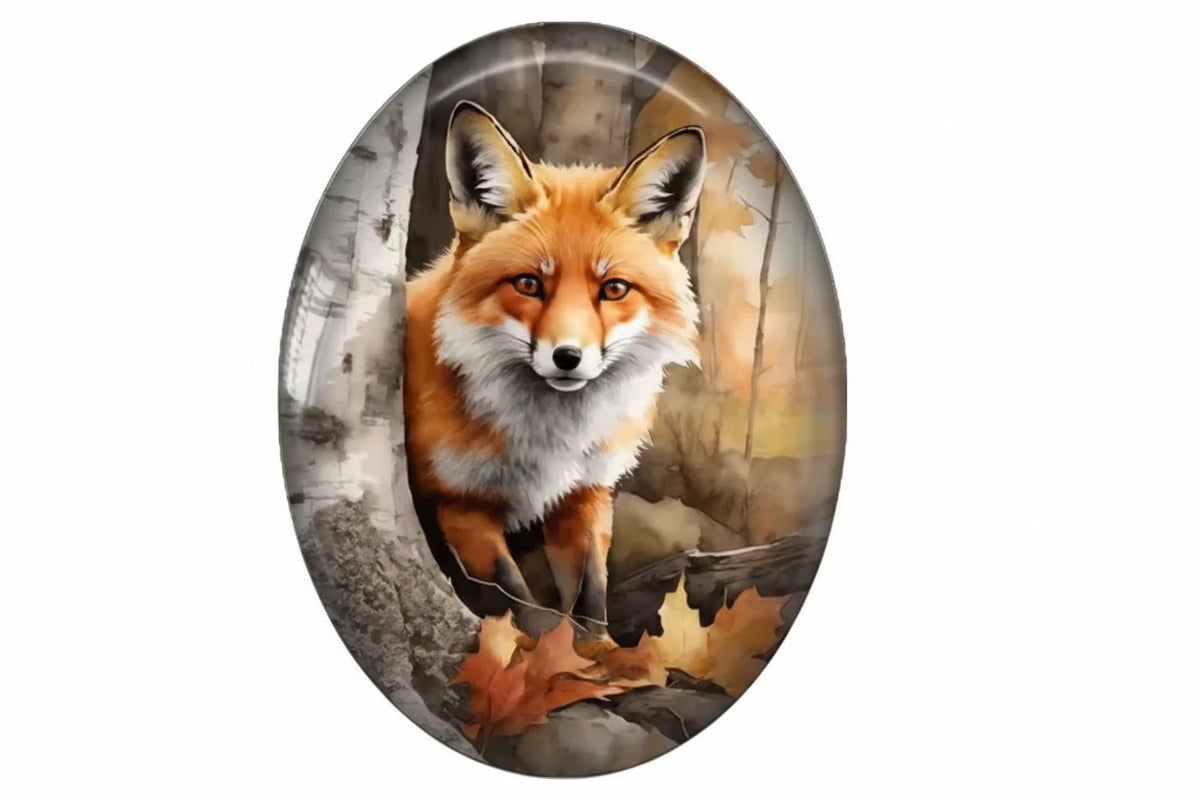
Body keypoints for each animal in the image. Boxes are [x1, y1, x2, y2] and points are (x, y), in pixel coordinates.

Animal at [404, 100, 705, 634]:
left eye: (613, 289)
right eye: (528, 284)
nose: (567, 357)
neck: (550, 441)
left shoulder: (586, 495)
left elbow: (591, 598)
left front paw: (597, 653)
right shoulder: (459, 504)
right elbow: (522, 604)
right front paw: (540, 651)